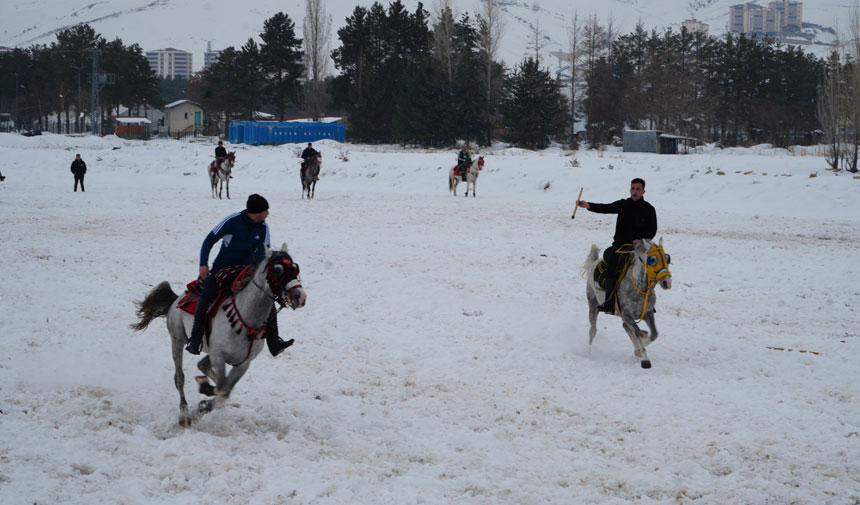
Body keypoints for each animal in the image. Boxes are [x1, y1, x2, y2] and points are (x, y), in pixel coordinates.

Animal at [133, 244, 308, 426]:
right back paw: (185, 414)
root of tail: (176, 300)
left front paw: (204, 404)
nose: (300, 297)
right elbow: (223, 388)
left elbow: (226, 390)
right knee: (179, 377)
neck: (247, 319)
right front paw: (204, 395)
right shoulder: (219, 357)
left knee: (203, 366)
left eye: (295, 268)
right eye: (277, 270)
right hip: (178, 340)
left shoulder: (243, 363)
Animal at [584, 238, 672, 368]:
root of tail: (594, 262)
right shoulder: (627, 315)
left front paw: (642, 347)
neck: (638, 287)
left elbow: (654, 334)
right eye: (653, 259)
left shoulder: (648, 314)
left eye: (666, 258)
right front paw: (644, 355)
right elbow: (638, 334)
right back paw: (589, 351)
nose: (667, 282)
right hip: (593, 305)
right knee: (593, 330)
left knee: (626, 327)